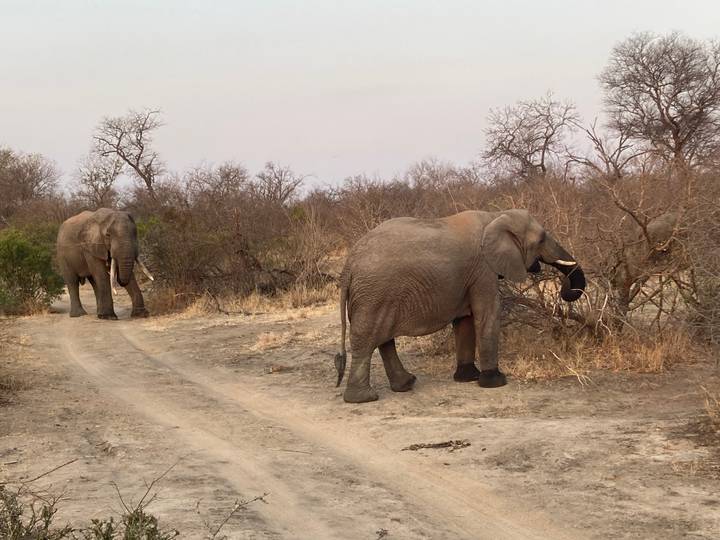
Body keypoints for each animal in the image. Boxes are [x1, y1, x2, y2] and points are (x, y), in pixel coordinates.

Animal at [334, 209, 586, 403]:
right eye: (541, 239)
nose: (564, 291)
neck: (496, 216)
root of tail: (349, 264)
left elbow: (464, 320)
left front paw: (468, 377)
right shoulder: (483, 269)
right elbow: (487, 313)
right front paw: (495, 381)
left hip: (376, 296)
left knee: (384, 341)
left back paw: (406, 384)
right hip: (373, 295)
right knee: (367, 340)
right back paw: (364, 399)